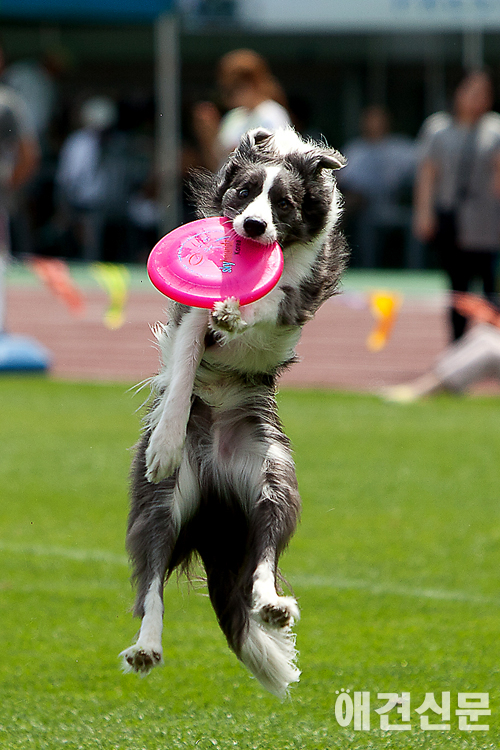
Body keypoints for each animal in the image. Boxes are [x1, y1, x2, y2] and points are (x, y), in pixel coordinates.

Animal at [120, 126, 348, 696]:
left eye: (284, 203)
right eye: (244, 193)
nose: (252, 226)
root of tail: (218, 492)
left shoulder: (300, 294)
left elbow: (270, 302)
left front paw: (237, 310)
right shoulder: (188, 319)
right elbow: (184, 366)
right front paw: (165, 442)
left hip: (273, 478)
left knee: (263, 558)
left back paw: (271, 607)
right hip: (159, 504)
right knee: (151, 581)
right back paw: (146, 646)